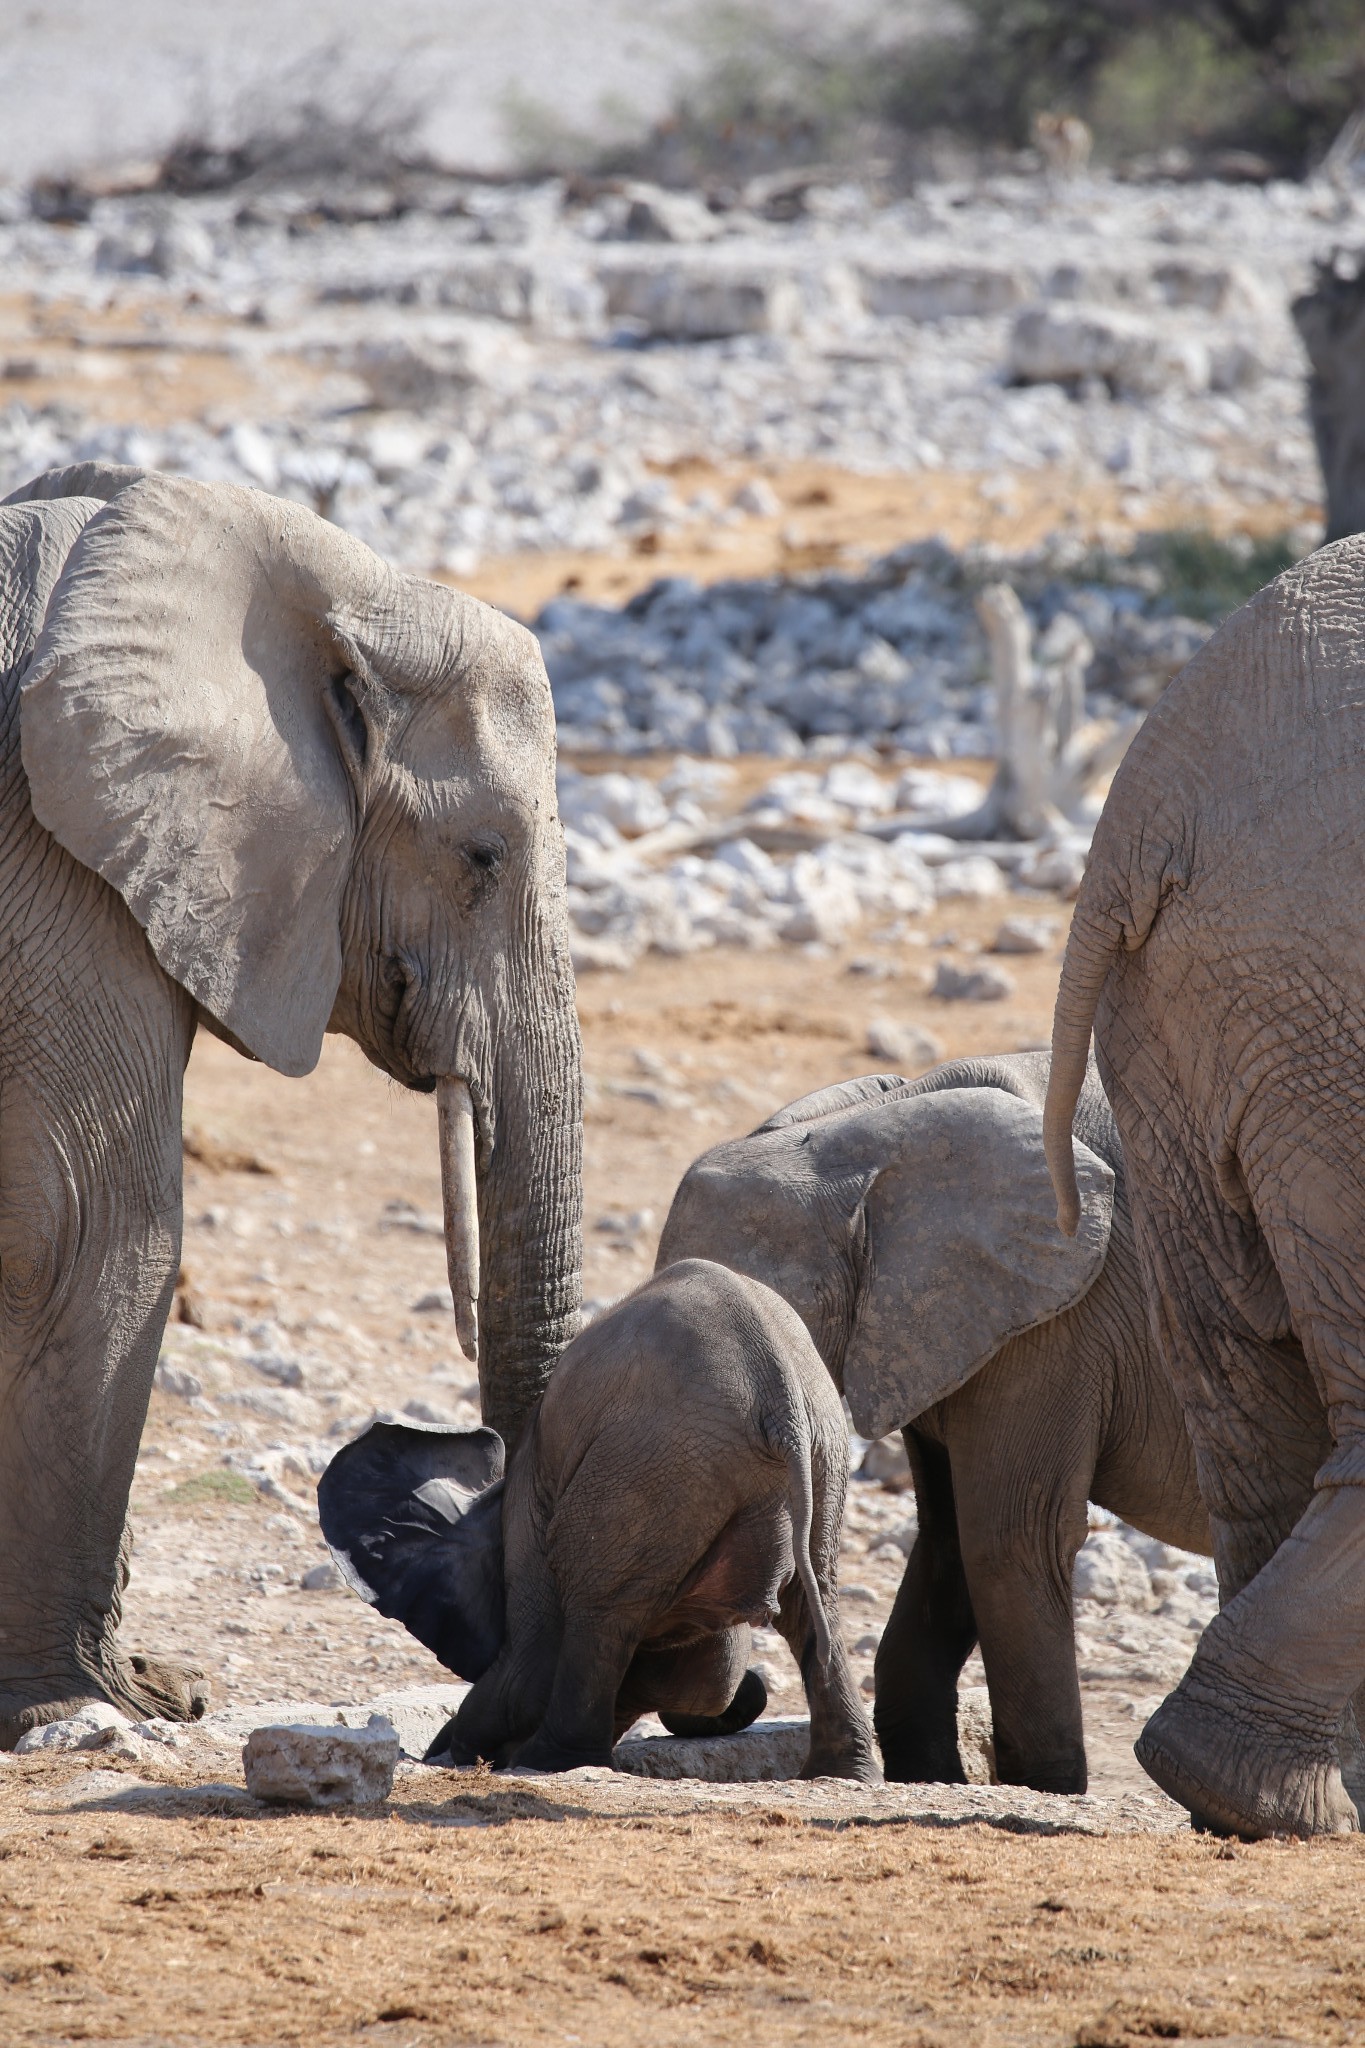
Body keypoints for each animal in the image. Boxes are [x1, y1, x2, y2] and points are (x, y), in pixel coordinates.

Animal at [317, 1253, 875, 1785]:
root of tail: (783, 1405)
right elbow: (697, 1678)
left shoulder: (530, 1502)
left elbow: (532, 1663)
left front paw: (455, 1751)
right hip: (810, 1459)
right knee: (814, 1602)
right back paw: (843, 1772)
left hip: (648, 1468)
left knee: (599, 1609)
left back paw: (549, 1762)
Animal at [654, 1056, 1211, 1794]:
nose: (753, 1689)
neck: (872, 1129)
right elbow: (947, 1540)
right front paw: (929, 1775)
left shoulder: (1059, 1322)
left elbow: (1009, 1536)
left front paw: (1046, 1789)